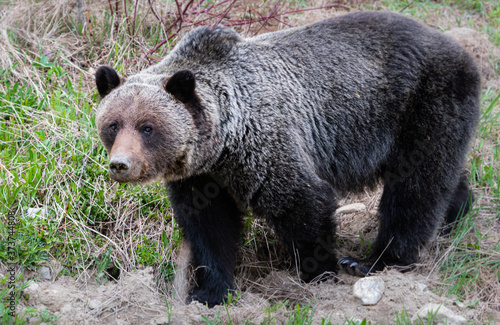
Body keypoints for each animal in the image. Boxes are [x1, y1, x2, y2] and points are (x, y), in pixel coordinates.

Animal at [94, 11, 480, 306]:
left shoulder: (266, 145)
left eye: (147, 127)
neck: (223, 143)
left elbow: (302, 202)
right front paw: (209, 292)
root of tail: (460, 49)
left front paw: (317, 271)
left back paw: (375, 260)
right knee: (440, 175)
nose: (120, 165)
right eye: (113, 124)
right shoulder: (201, 178)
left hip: (423, 103)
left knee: (415, 185)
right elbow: (210, 230)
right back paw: (455, 212)